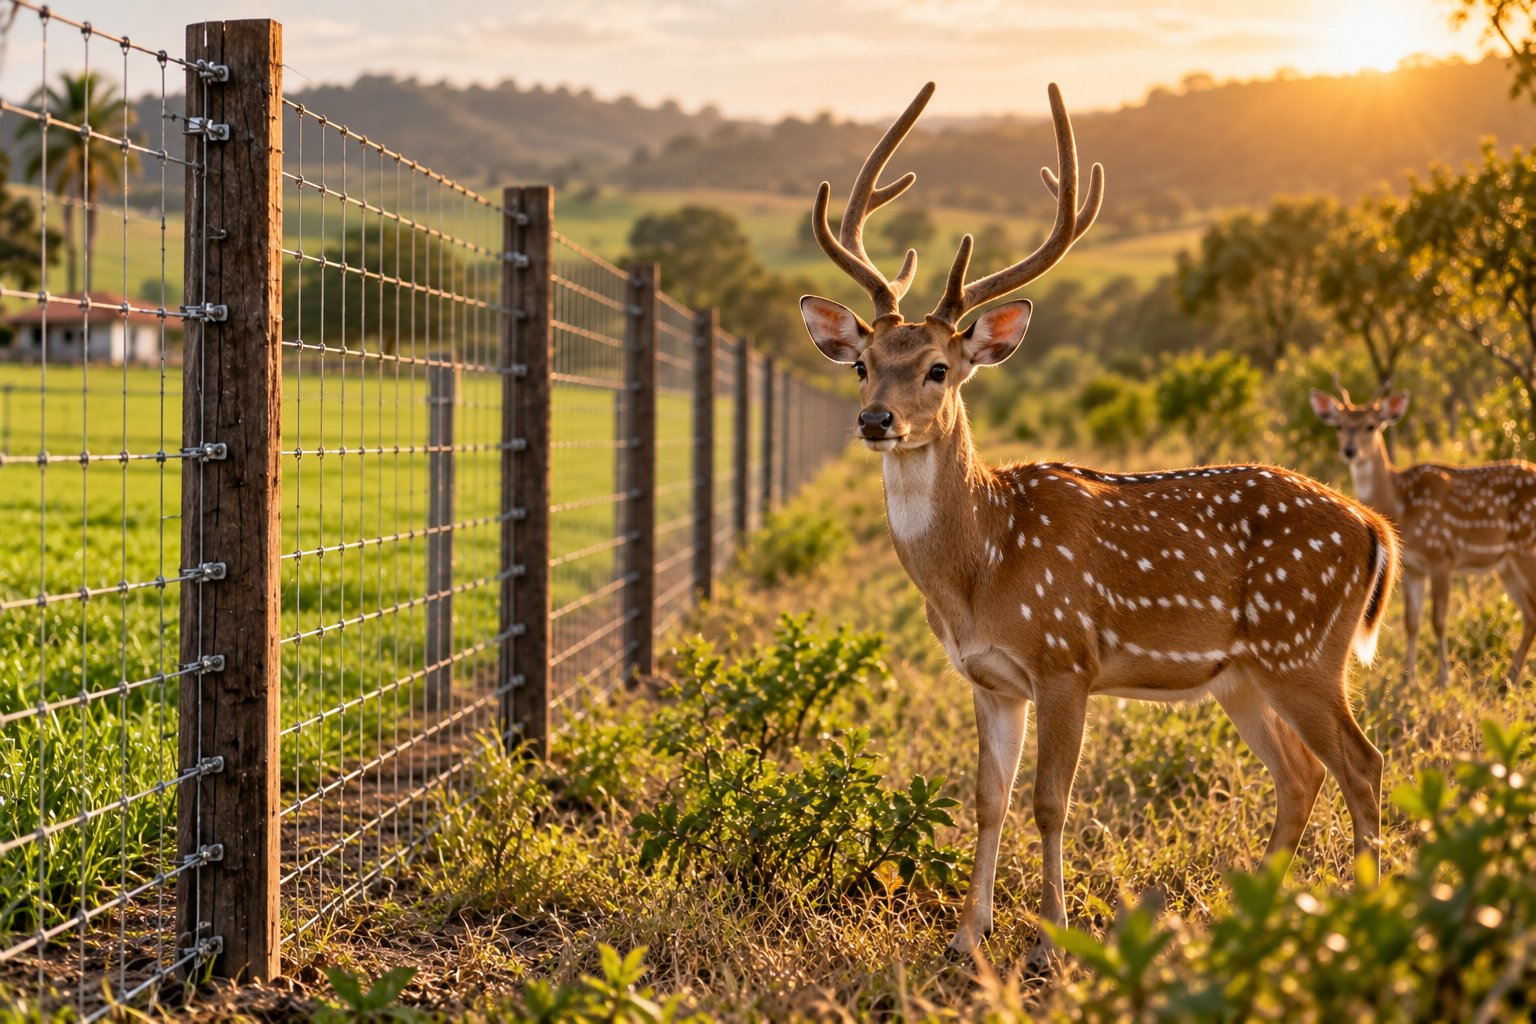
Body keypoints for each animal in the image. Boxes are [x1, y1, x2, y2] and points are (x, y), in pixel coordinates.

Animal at [799, 81, 1400, 969]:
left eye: (939, 368)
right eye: (863, 364)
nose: (877, 420)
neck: (981, 569)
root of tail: (1374, 529)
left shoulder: (1065, 657)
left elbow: (1050, 800)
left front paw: (1048, 940)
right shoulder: (989, 678)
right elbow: (986, 798)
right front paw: (967, 936)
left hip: (1303, 650)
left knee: (1364, 763)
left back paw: (1364, 912)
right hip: (1246, 675)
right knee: (1301, 774)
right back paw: (1252, 913)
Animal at [1310, 377, 1536, 689]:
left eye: (1371, 425)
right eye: (1339, 425)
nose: (1350, 450)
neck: (1399, 504)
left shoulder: (1441, 554)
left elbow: (1438, 620)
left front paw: (1444, 678)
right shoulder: (1412, 566)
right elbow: (1411, 621)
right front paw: (1408, 679)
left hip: (1527, 550)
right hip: (1506, 565)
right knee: (1530, 614)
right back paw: (1509, 677)